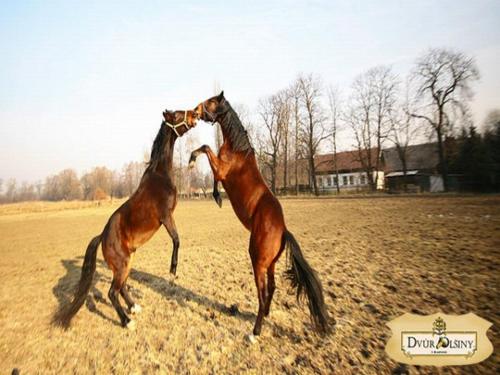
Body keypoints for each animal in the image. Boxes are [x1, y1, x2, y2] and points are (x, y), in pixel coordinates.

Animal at [53, 108, 197, 328]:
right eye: (179, 114)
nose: (196, 114)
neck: (160, 175)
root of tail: (102, 236)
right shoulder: (166, 217)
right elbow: (177, 240)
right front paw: (172, 273)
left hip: (127, 261)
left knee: (121, 287)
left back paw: (134, 307)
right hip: (123, 264)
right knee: (112, 292)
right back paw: (127, 321)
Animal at [189, 92, 330, 338]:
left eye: (212, 101)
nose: (196, 110)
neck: (236, 149)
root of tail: (283, 231)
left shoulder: (221, 169)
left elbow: (206, 148)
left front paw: (192, 160)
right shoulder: (219, 171)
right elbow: (211, 170)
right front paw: (216, 196)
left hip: (258, 261)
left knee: (263, 294)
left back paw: (255, 331)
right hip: (270, 263)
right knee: (271, 289)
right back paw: (265, 316)